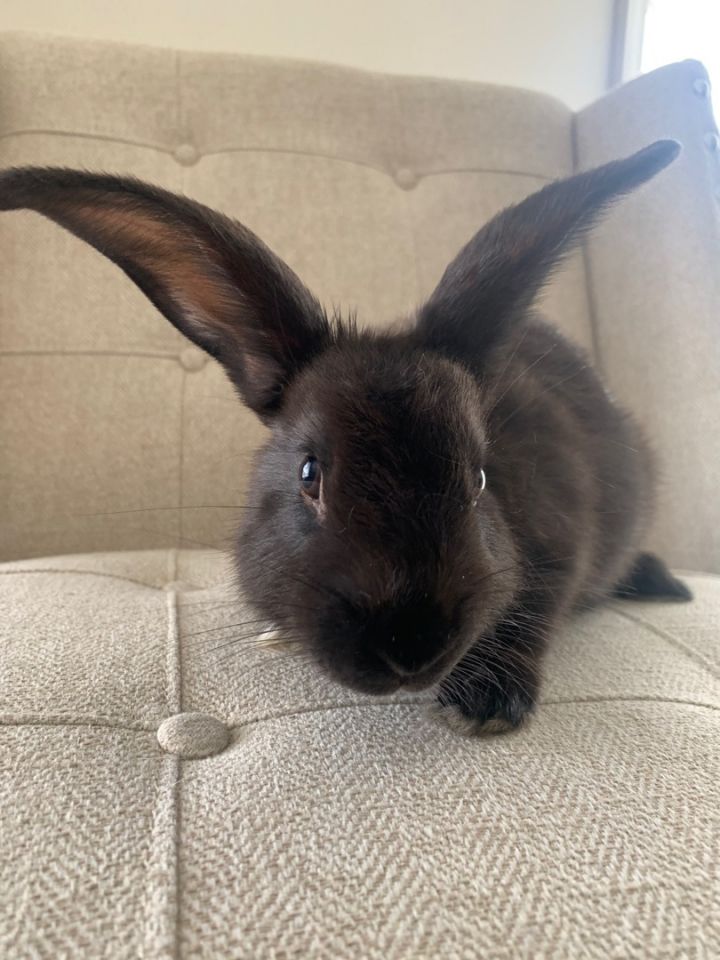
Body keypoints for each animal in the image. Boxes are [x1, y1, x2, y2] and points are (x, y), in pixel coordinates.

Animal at [0, 139, 691, 735]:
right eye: (310, 473)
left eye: (479, 479)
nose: (411, 648)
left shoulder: (559, 546)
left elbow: (531, 610)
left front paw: (484, 703)